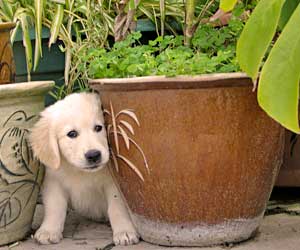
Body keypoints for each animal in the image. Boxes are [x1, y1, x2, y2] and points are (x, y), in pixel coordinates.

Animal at [29, 93, 139, 246]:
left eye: (98, 128)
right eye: (72, 133)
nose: (93, 155)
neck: (80, 172)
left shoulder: (113, 185)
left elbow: (117, 207)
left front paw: (124, 231)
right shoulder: (54, 181)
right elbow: (54, 207)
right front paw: (48, 231)